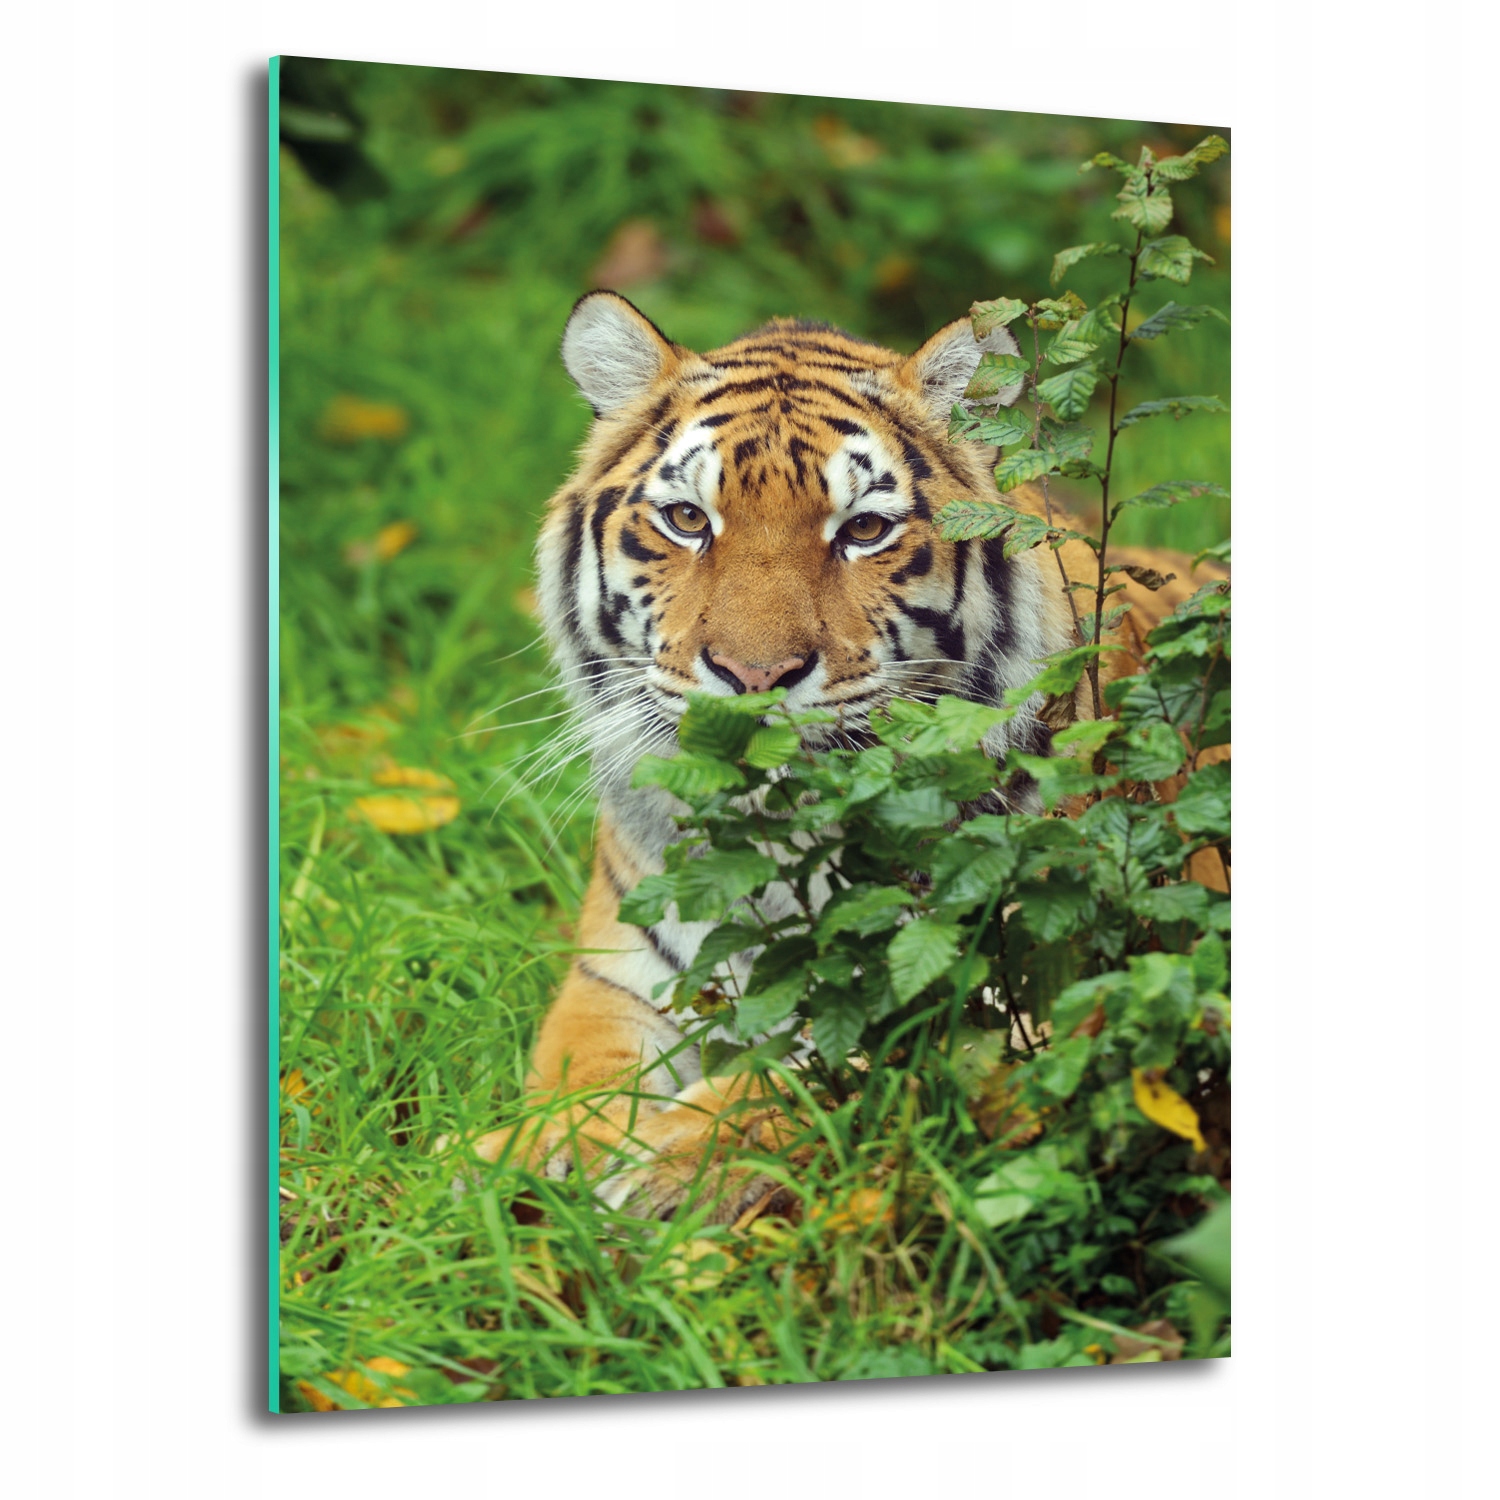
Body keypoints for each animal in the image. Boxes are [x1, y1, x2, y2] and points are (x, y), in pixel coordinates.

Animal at [470, 290, 1224, 1219]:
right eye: (687, 519)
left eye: (863, 529)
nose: (755, 676)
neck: (774, 846)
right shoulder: (613, 982)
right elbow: (576, 1081)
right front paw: (510, 1158)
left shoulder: (1026, 980)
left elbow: (811, 1073)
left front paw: (664, 1162)